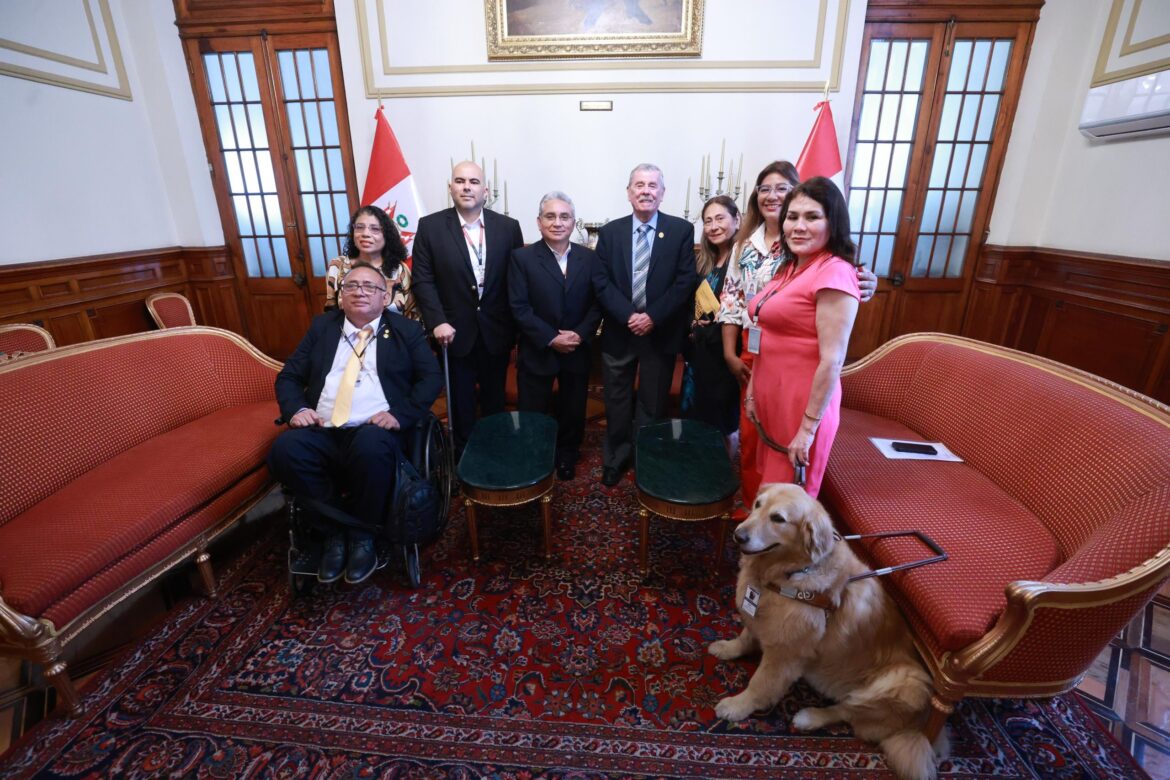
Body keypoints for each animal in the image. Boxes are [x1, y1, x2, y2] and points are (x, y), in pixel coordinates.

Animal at [708, 483, 948, 780]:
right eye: (757, 505)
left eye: (778, 519)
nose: (738, 535)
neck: (787, 574)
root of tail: (914, 726)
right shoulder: (761, 617)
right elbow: (745, 636)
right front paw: (728, 647)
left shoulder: (785, 655)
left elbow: (760, 684)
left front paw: (738, 706)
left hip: (910, 682)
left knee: (848, 711)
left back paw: (810, 717)